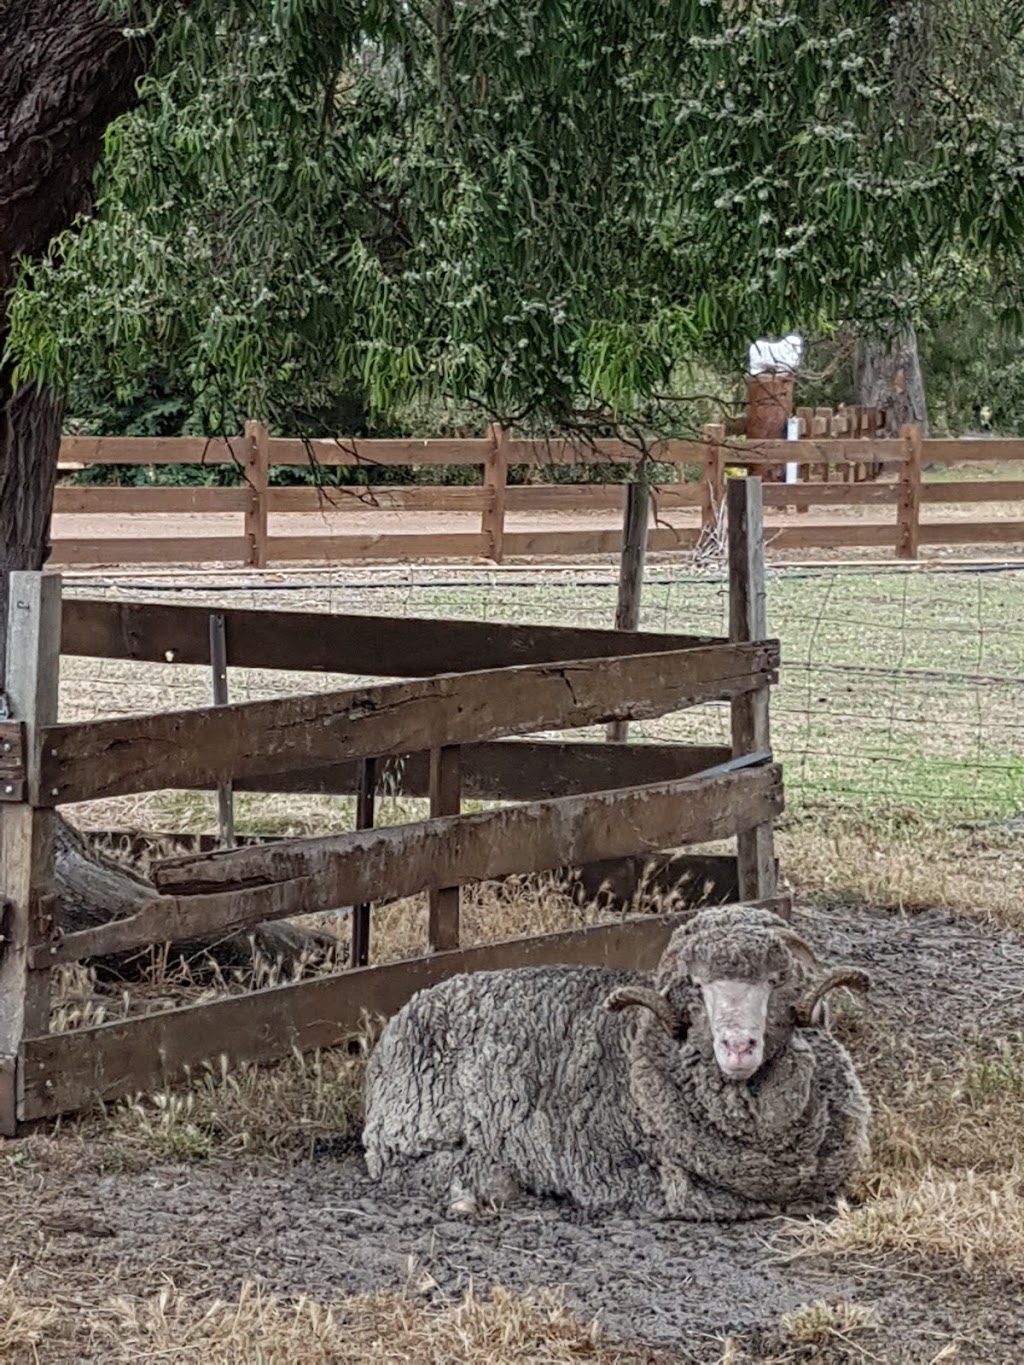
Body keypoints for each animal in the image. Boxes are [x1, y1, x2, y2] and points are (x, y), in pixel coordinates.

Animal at [363, 906, 873, 1217]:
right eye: (698, 985)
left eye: (774, 981)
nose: (738, 1046)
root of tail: (412, 1004)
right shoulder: (614, 1172)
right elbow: (689, 1193)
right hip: (410, 1128)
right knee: (408, 1168)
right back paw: (478, 1186)